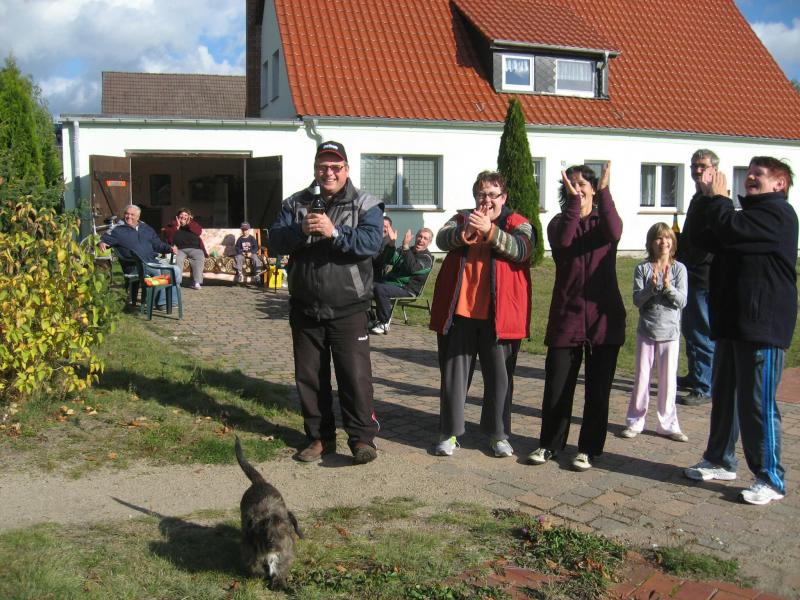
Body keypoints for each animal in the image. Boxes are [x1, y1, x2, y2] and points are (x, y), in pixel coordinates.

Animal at [235, 436, 303, 590]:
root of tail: (259, 482)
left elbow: (282, 566)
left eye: (283, 526)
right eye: (262, 527)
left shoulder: (286, 552)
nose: (272, 543)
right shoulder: (250, 553)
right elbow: (256, 567)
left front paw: (278, 581)